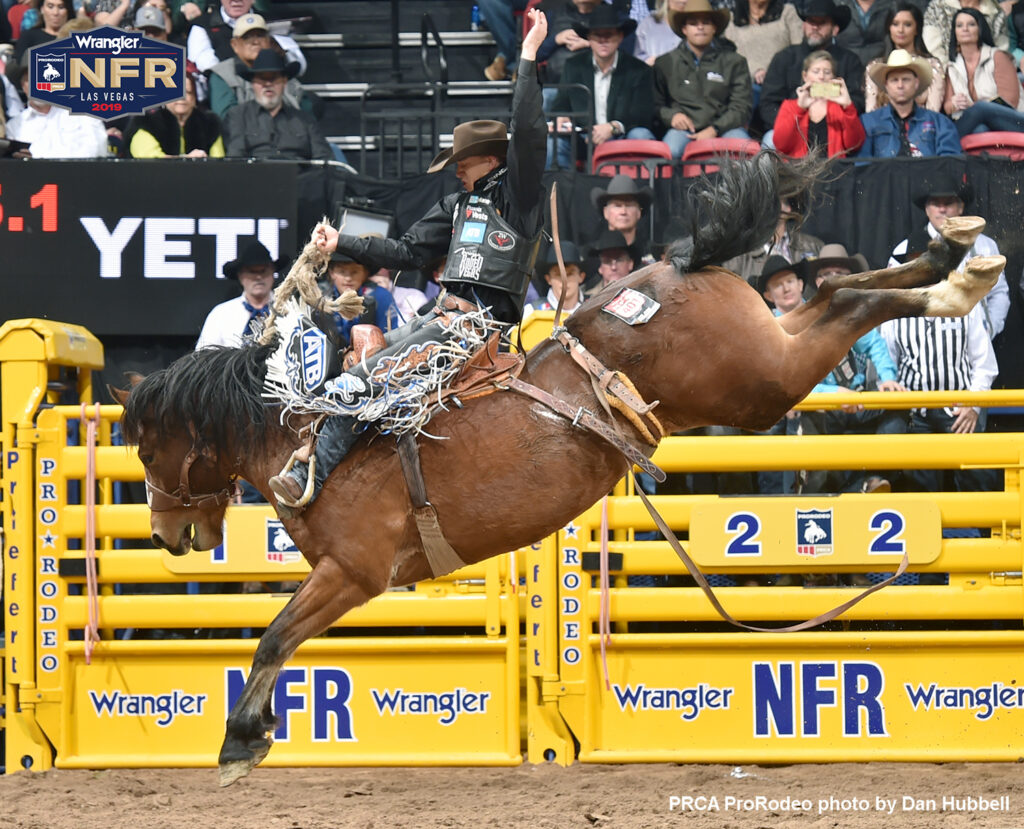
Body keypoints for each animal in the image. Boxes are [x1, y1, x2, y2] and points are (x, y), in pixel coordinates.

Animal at [116, 153, 1003, 781]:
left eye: (149, 448)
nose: (163, 534)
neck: (299, 428)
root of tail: (674, 266)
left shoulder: (353, 572)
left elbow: (274, 636)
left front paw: (241, 740)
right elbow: (277, 637)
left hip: (757, 384)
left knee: (846, 306)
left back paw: (959, 279)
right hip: (764, 351)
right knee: (836, 296)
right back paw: (949, 253)